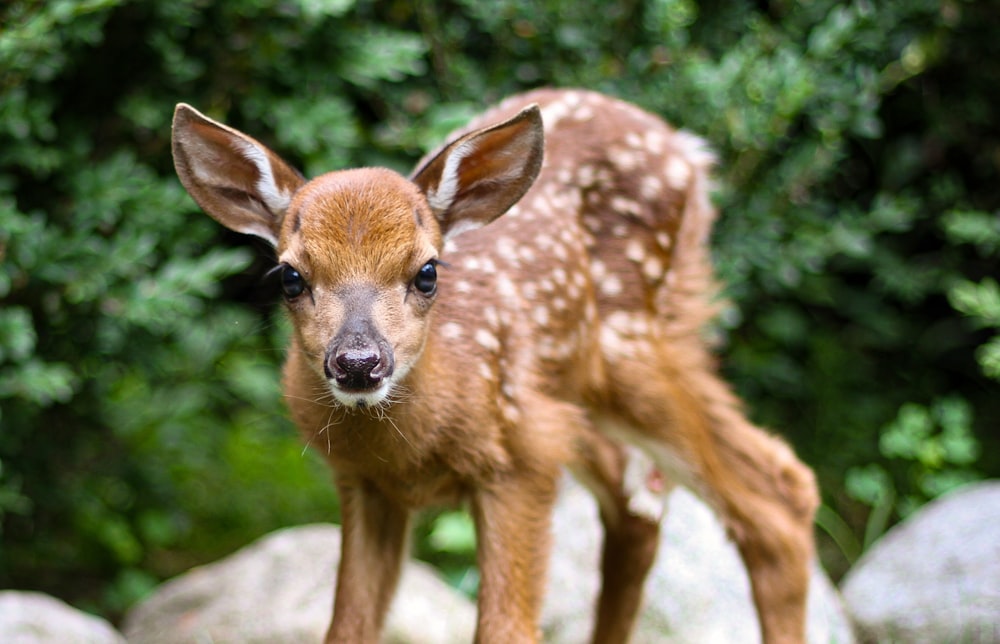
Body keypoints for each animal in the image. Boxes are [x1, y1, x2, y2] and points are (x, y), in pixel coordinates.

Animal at [172, 88, 820, 640]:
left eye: (427, 271)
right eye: (290, 276)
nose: (358, 363)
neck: (414, 452)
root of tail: (686, 150)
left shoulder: (524, 457)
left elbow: (506, 629)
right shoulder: (363, 484)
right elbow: (346, 629)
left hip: (628, 347)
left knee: (779, 493)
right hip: (575, 388)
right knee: (641, 508)